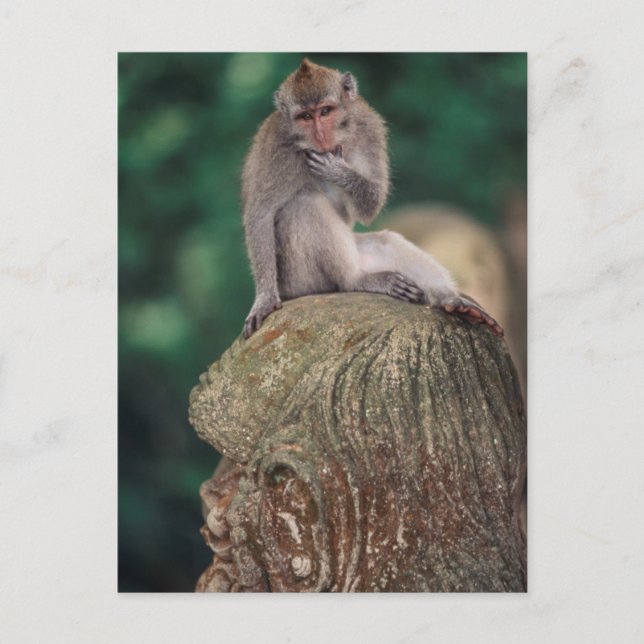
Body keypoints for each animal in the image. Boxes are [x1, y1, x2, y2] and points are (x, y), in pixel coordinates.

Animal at [241, 58, 503, 339]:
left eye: (325, 111)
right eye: (306, 117)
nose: (320, 136)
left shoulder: (369, 128)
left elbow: (371, 203)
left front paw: (338, 171)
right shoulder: (276, 149)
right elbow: (260, 214)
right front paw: (265, 298)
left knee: (386, 242)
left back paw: (451, 299)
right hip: (300, 280)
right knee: (304, 203)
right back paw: (355, 280)